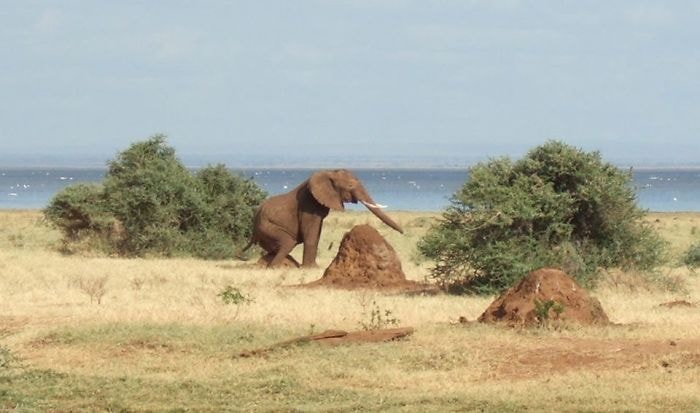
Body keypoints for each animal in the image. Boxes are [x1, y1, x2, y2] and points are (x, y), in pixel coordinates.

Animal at [243, 168, 404, 268]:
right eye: (350, 185)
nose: (403, 232)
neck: (329, 172)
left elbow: (317, 233)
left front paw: (312, 267)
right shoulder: (309, 204)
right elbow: (311, 235)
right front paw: (310, 268)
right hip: (268, 227)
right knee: (288, 242)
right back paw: (275, 267)